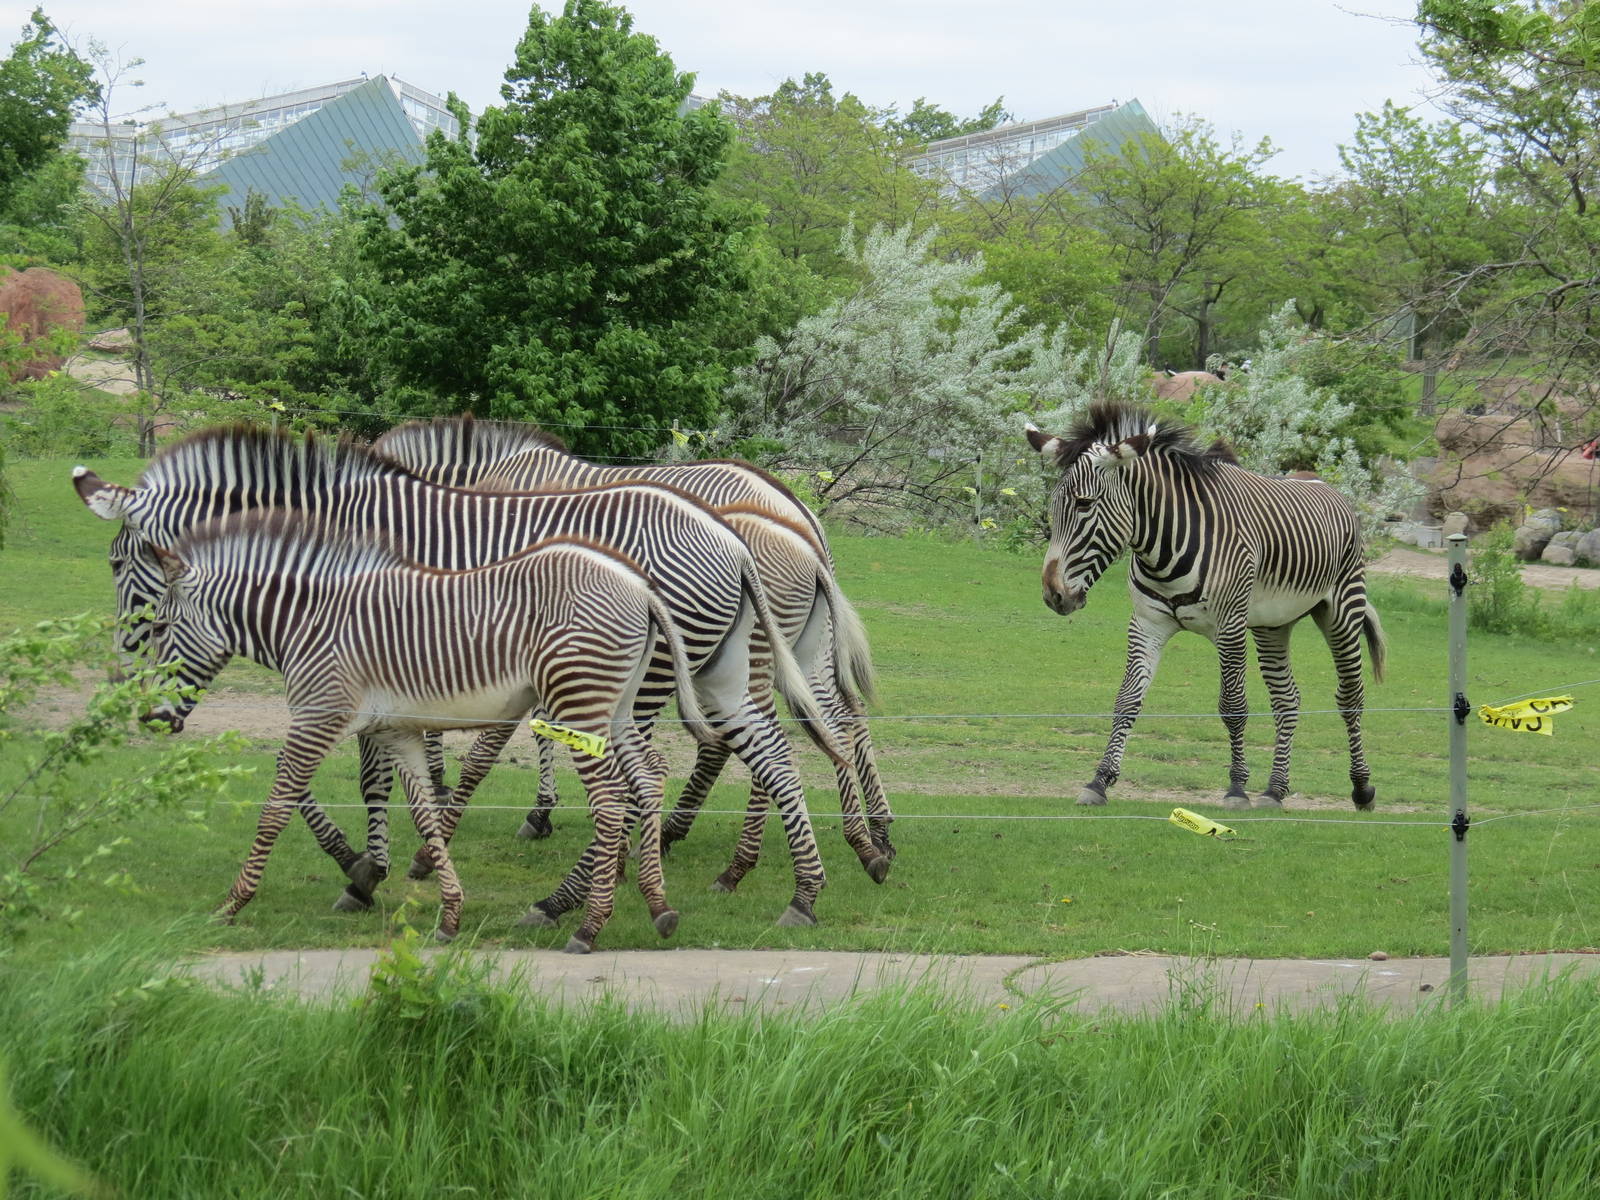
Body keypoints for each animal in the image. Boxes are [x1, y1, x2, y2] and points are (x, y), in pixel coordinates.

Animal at [144, 511, 712, 950]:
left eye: (160, 627)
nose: (151, 717)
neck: (310, 622)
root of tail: (638, 586)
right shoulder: (396, 730)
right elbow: (425, 815)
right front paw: (449, 914)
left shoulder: (317, 715)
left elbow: (276, 808)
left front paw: (232, 904)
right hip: (614, 707)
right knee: (650, 776)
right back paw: (659, 906)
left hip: (581, 701)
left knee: (611, 801)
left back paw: (589, 926)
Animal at [367, 416, 892, 865]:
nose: (436, 788)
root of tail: (800, 514)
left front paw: (536, 812)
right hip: (799, 644)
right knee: (839, 713)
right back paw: (875, 835)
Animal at [1025, 401, 1387, 810]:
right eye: (1053, 506)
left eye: (1085, 505)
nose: (1054, 595)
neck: (1163, 548)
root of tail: (1321, 482)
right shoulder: (1147, 623)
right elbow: (1127, 699)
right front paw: (1099, 781)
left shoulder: (1229, 626)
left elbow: (1233, 705)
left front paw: (1236, 789)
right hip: (1273, 623)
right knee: (1286, 699)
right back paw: (1274, 790)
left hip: (1342, 610)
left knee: (1350, 695)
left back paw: (1361, 788)